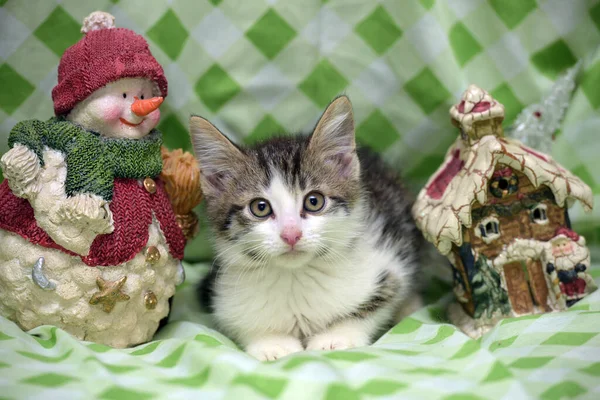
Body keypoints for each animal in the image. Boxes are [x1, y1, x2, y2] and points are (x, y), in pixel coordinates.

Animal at [192, 97, 422, 362]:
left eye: (314, 201)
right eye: (260, 207)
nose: (291, 234)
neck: (296, 277)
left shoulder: (388, 267)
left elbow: (376, 303)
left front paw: (335, 337)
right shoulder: (225, 298)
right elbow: (241, 323)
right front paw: (272, 343)